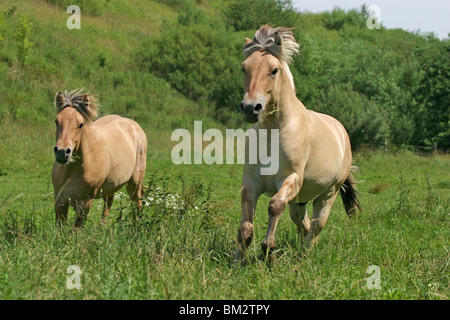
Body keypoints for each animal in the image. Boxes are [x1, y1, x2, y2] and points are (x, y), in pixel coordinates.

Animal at [52, 89, 148, 226]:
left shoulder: (85, 202)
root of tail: (133, 124)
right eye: (56, 121)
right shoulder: (60, 201)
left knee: (137, 204)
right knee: (109, 202)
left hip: (135, 183)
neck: (72, 169)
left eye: (80, 124)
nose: (62, 152)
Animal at [236, 24, 362, 260]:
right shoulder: (251, 183)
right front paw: (239, 259)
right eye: (244, 69)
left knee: (316, 226)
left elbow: (275, 206)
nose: (250, 108)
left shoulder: (291, 179)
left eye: (274, 70)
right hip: (300, 200)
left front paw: (268, 250)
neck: (274, 133)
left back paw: (305, 257)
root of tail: (340, 130)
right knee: (303, 223)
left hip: (327, 194)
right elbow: (246, 227)